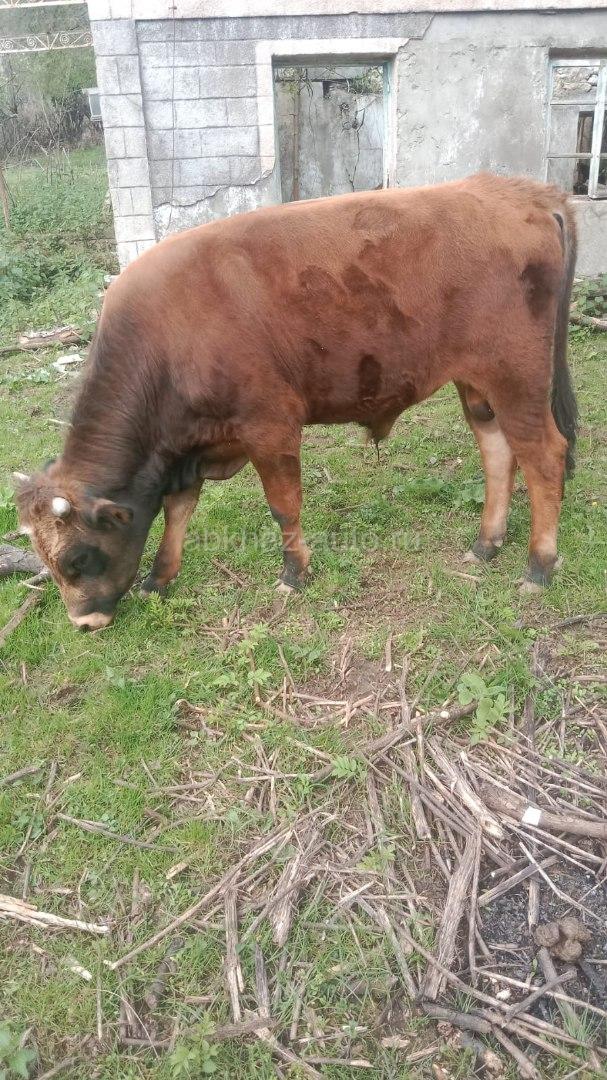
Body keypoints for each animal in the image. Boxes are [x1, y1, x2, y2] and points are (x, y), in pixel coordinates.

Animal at [15, 173, 578, 631]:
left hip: (518, 376)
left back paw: (539, 566)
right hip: (478, 385)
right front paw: (159, 577)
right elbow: (179, 510)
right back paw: (486, 544)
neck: (165, 336)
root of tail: (520, 191)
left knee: (545, 455)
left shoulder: (269, 425)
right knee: (498, 450)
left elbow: (282, 506)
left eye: (76, 560)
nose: (83, 623)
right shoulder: (187, 445)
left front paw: (293, 572)